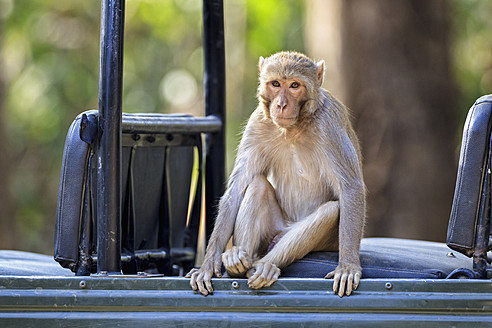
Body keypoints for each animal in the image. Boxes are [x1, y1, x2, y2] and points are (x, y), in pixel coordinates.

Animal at [186, 50, 368, 298]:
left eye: (294, 85)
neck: (293, 127)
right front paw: (207, 264)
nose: (281, 104)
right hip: (270, 231)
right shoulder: (257, 123)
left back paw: (266, 266)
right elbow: (237, 188)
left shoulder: (329, 124)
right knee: (257, 186)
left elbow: (351, 187)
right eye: (275, 84)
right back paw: (237, 262)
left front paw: (348, 266)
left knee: (330, 211)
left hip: (327, 241)